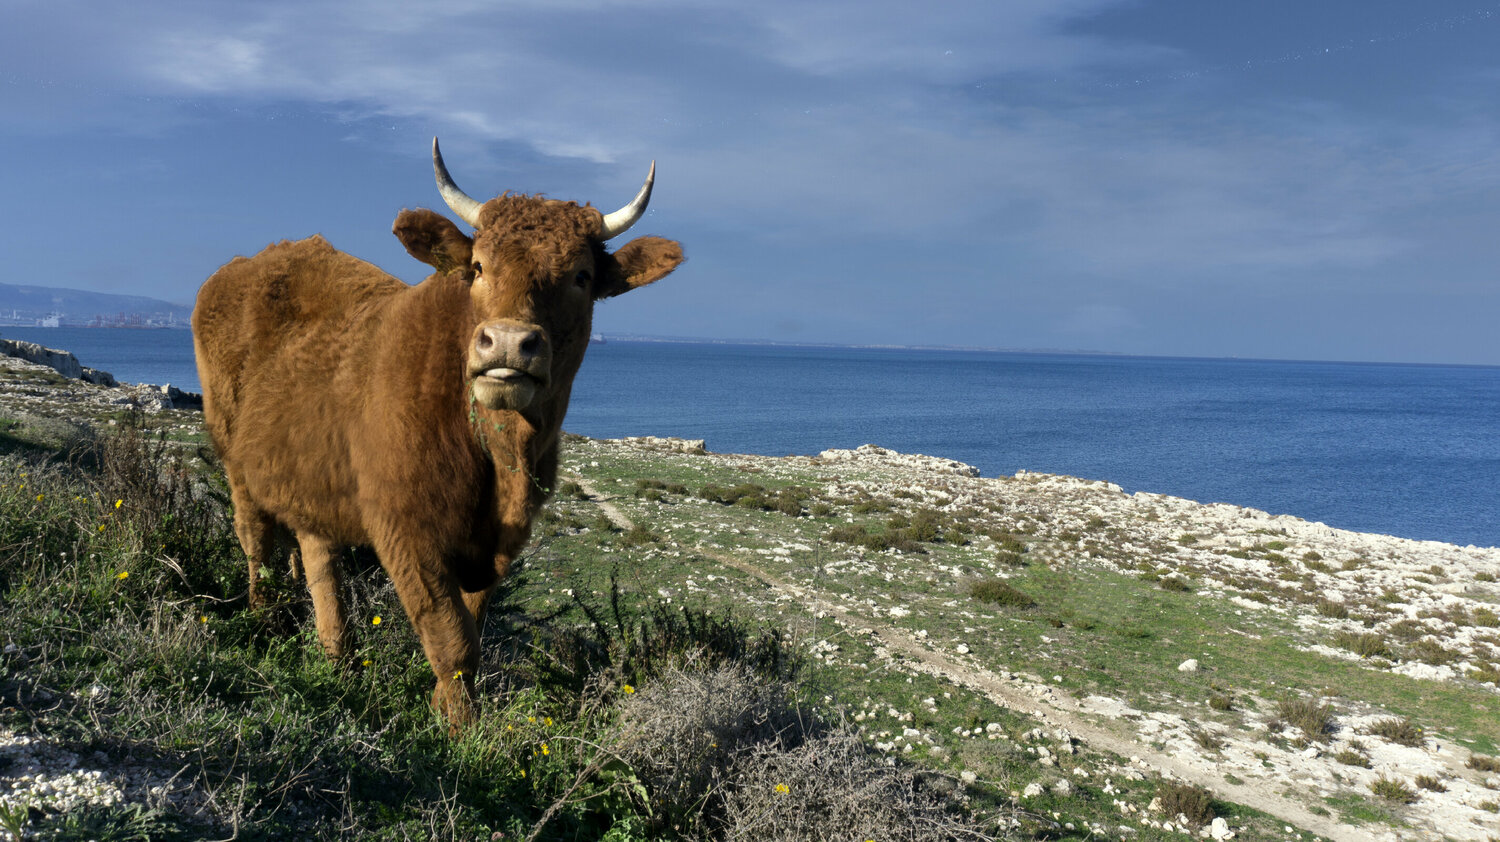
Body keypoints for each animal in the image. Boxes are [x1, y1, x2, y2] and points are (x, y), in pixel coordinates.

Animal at [192, 139, 684, 725]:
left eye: (581, 277)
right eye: (478, 266)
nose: (507, 343)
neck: (498, 455)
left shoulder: (502, 541)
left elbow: (472, 625)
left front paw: (449, 707)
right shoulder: (406, 527)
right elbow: (451, 636)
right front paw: (460, 729)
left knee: (316, 551)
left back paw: (336, 654)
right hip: (232, 456)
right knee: (254, 540)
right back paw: (264, 619)